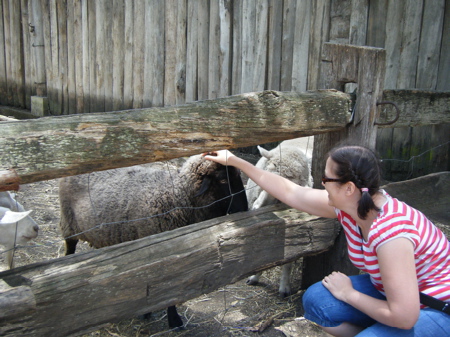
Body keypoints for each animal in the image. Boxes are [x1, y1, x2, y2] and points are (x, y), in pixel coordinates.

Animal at [58, 154, 248, 326]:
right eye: (223, 180)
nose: (245, 208)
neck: (177, 199)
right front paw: (171, 319)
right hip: (68, 222)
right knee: (70, 247)